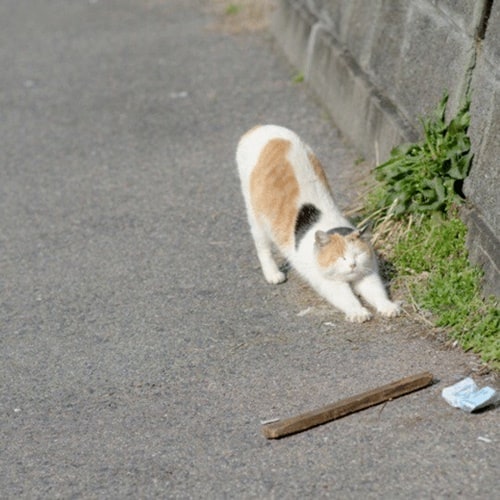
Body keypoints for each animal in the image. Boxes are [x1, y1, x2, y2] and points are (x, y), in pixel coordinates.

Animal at [235, 123, 402, 322]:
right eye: (340, 257)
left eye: (358, 255)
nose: (352, 265)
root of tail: (260, 127)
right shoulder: (328, 283)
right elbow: (346, 298)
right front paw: (358, 312)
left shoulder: (368, 273)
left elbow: (377, 292)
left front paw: (388, 306)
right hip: (256, 215)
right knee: (262, 247)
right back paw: (273, 274)